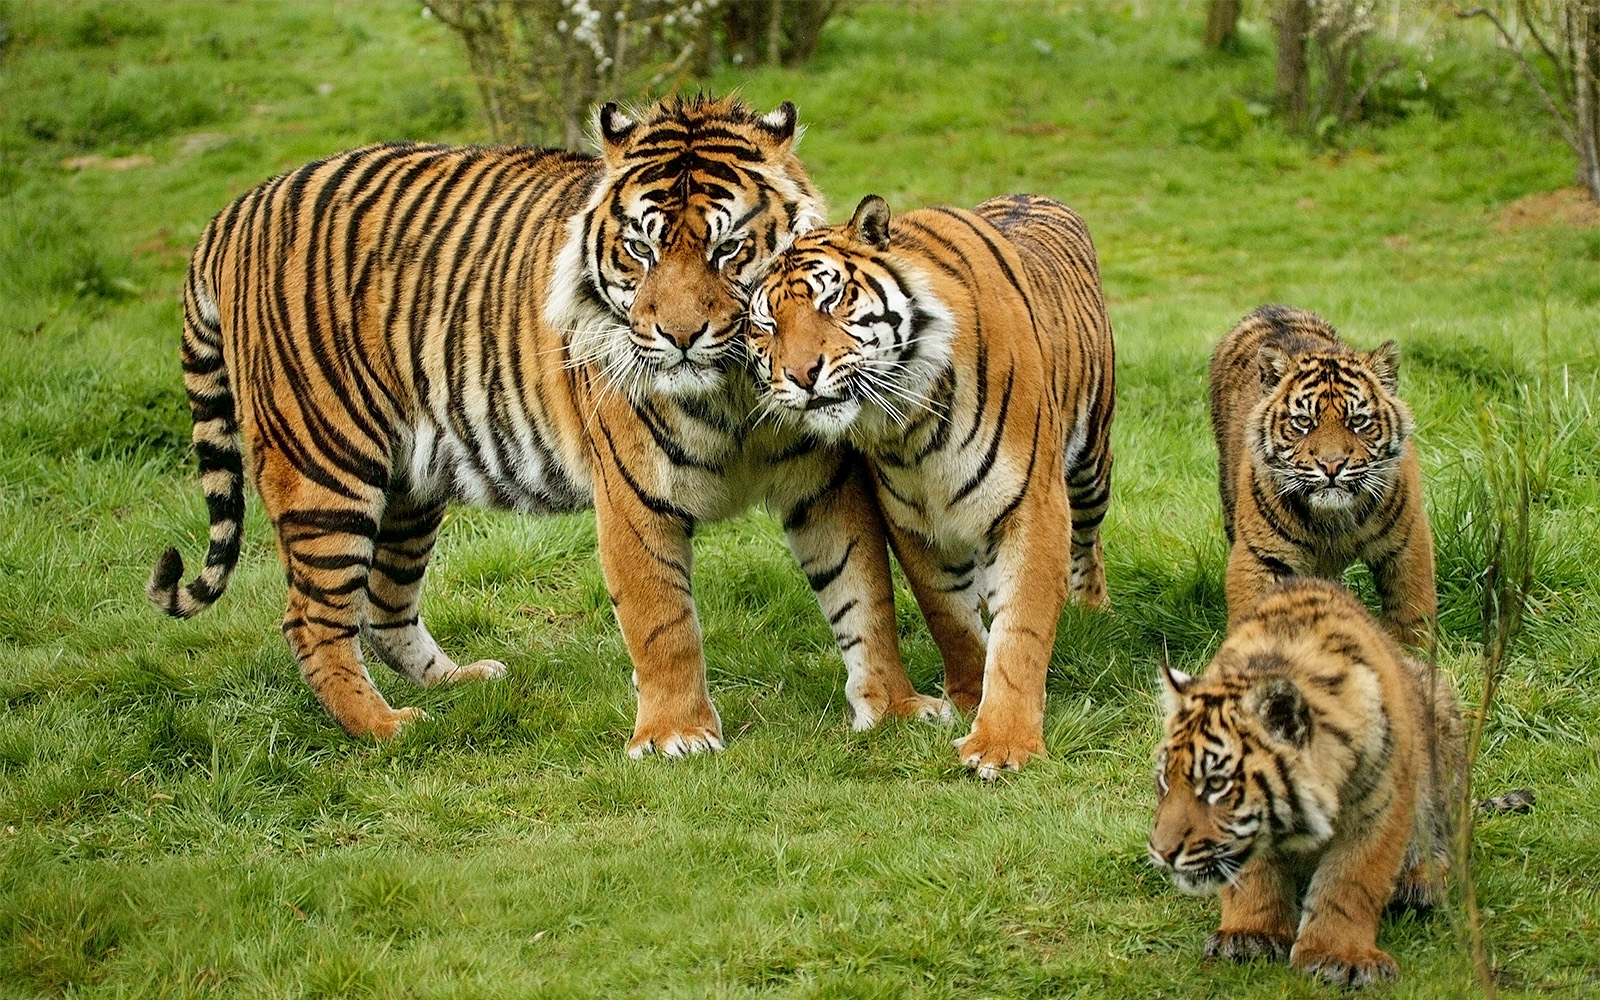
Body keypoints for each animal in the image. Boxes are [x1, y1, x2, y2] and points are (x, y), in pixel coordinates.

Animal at [146, 95, 949, 747]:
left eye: (728, 249)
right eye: (641, 248)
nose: (679, 336)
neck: (733, 390)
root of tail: (236, 208)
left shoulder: (826, 481)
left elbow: (865, 595)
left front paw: (895, 708)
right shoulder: (633, 498)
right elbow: (662, 623)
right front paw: (676, 736)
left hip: (410, 485)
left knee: (382, 603)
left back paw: (457, 683)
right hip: (326, 468)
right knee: (312, 619)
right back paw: (384, 727)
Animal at [746, 193, 1116, 778]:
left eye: (832, 299)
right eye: (765, 326)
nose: (801, 375)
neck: (909, 426)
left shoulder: (1032, 506)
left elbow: (1021, 633)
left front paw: (1003, 743)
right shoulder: (913, 520)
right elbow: (949, 617)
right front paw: (967, 698)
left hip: (1090, 467)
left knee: (1088, 540)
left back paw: (1093, 607)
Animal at [1149, 578, 1462, 988]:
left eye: (1216, 784)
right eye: (1164, 781)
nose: (1162, 853)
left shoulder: (1383, 805)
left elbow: (1352, 881)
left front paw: (1340, 955)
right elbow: (1253, 872)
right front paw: (1249, 935)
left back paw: (1418, 883)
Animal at [1209, 304, 1436, 648]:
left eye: (1357, 421)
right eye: (1304, 421)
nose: (1332, 465)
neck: (1333, 522)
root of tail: (1270, 307)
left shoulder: (1407, 544)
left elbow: (1410, 614)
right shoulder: (1261, 557)